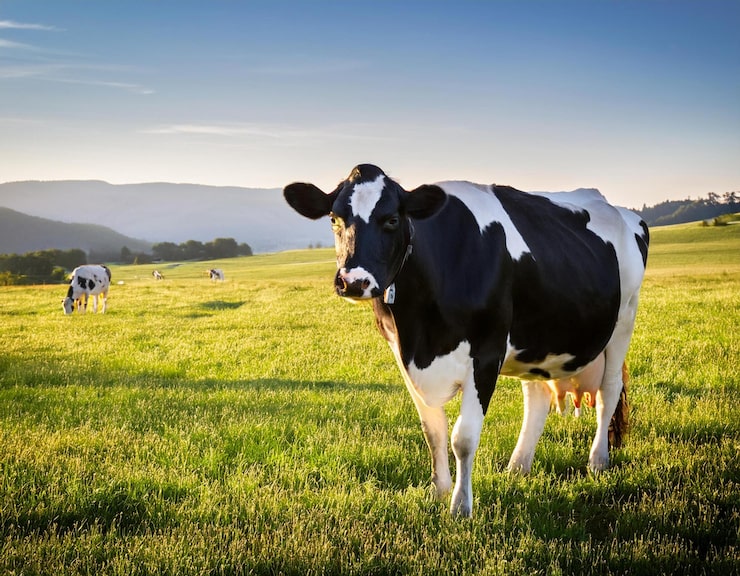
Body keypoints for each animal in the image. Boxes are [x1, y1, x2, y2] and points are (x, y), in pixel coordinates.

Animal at [284, 164, 649, 517]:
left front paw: (460, 506)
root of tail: (620, 210)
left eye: (391, 219)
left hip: (623, 320)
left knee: (608, 391)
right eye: (334, 219)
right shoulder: (402, 355)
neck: (420, 331)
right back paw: (518, 468)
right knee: (537, 397)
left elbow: (464, 437)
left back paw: (597, 461)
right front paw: (438, 491)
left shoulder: (486, 353)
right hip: (537, 339)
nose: (353, 281)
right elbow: (432, 430)